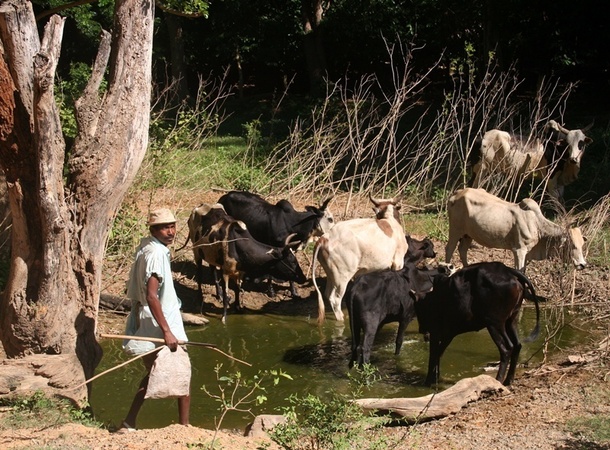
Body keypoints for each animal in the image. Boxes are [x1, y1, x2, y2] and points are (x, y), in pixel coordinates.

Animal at [444, 187, 588, 270]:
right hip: (455, 230)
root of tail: (456, 193)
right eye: (572, 245)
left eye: (582, 245)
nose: (582, 265)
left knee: (462, 250)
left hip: (468, 234)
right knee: (449, 249)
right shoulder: (519, 250)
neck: (537, 225)